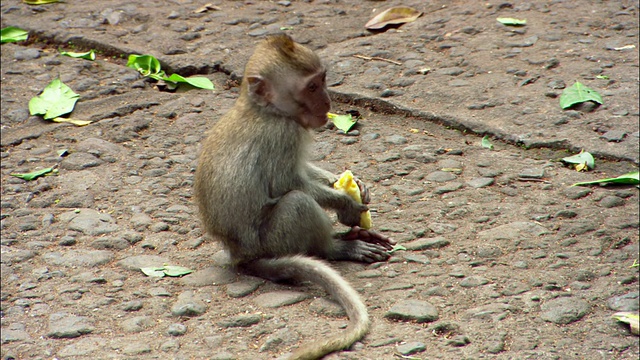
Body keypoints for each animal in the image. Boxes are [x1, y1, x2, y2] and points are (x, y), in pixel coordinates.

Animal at [195, 34, 396, 360]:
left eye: (323, 80)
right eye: (311, 87)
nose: (328, 102)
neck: (266, 110)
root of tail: (239, 254)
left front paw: (354, 184)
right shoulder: (283, 133)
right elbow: (290, 182)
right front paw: (348, 206)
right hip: (272, 241)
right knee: (297, 203)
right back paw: (338, 247)